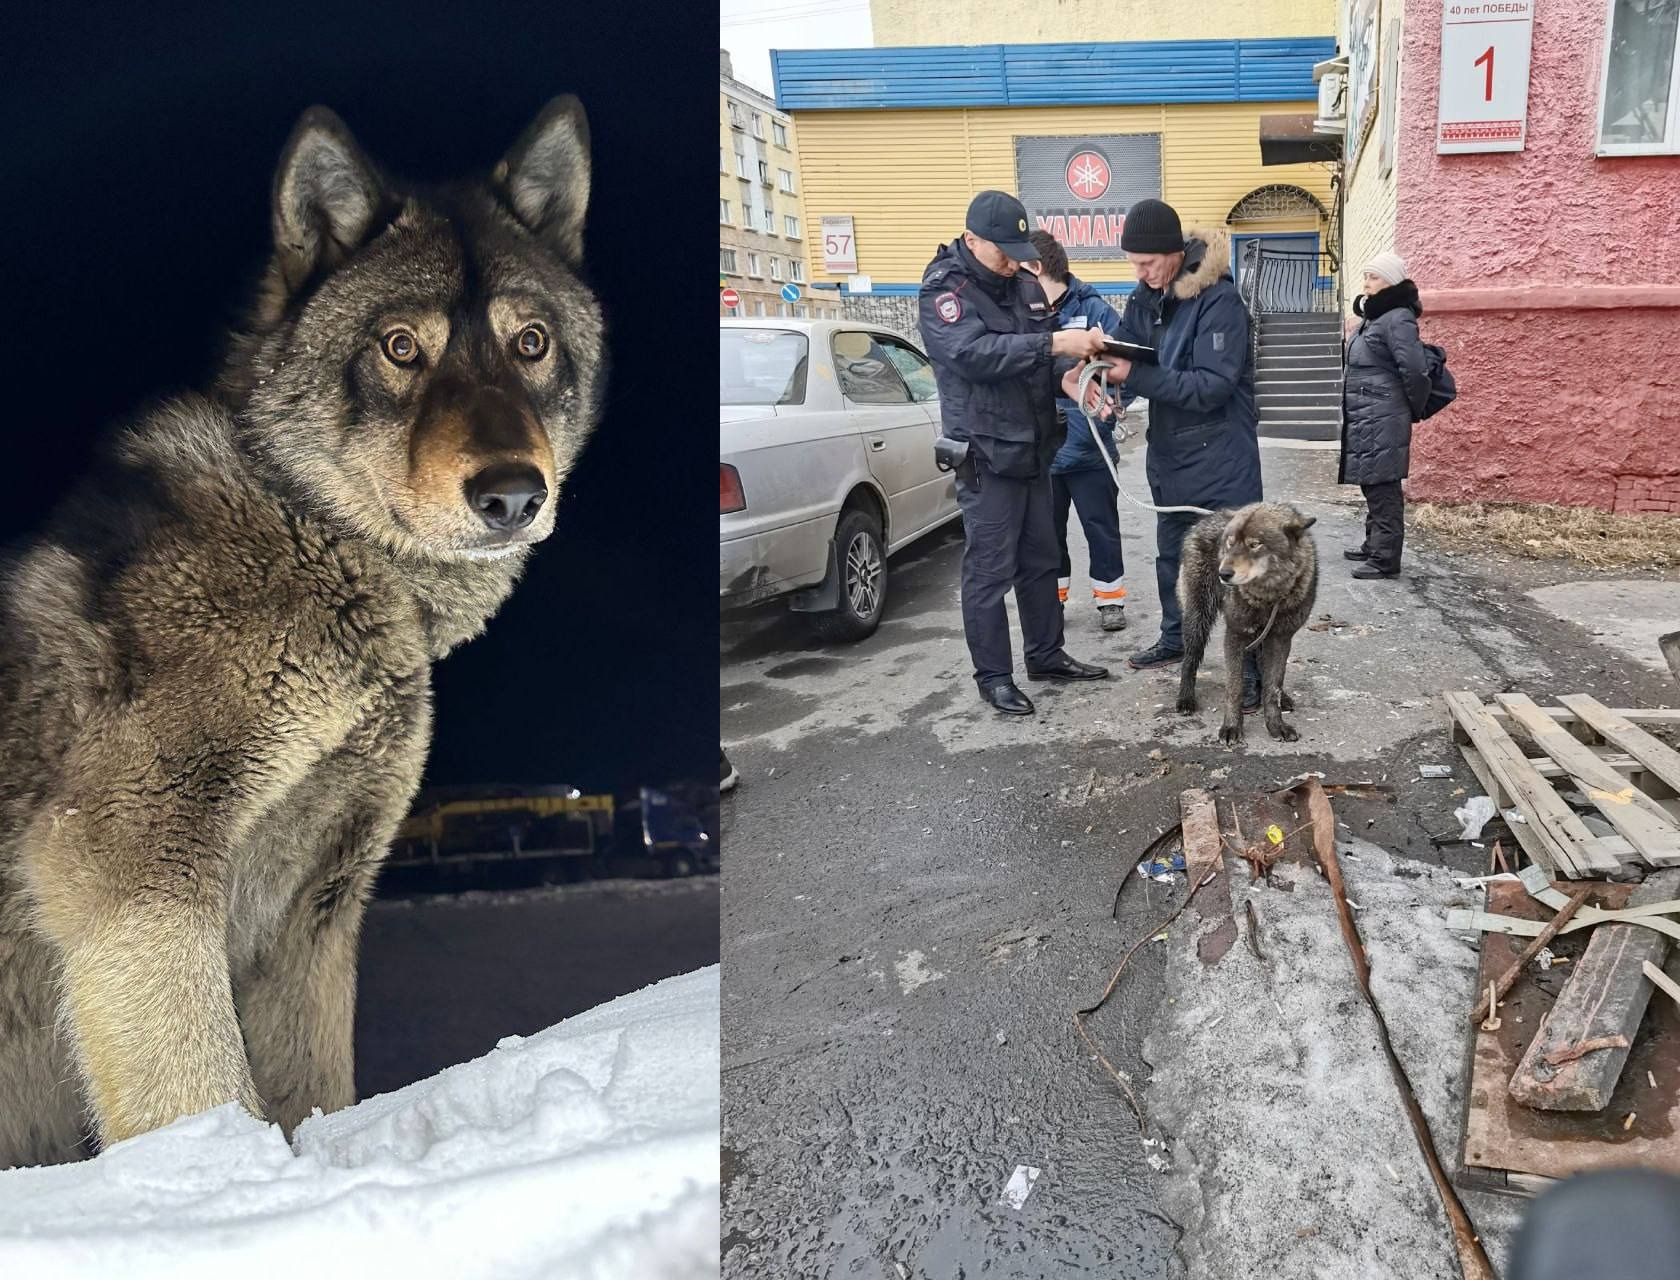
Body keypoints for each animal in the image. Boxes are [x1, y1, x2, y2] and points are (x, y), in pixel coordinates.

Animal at [0, 94, 604, 1162]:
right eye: (400, 348)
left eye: (531, 343)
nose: (513, 496)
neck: (313, 537)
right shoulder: (130, 876)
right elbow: (203, 1094)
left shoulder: (313, 913)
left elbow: (312, 1090)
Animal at [1176, 500, 1317, 742]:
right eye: (1230, 544)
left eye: (1254, 545)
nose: (1223, 573)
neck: (1268, 595)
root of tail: (1205, 519)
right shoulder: (1235, 634)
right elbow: (1234, 687)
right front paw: (1232, 727)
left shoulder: (1280, 638)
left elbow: (1273, 685)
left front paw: (1276, 724)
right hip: (1198, 620)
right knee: (1190, 659)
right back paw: (1185, 698)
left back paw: (1283, 698)